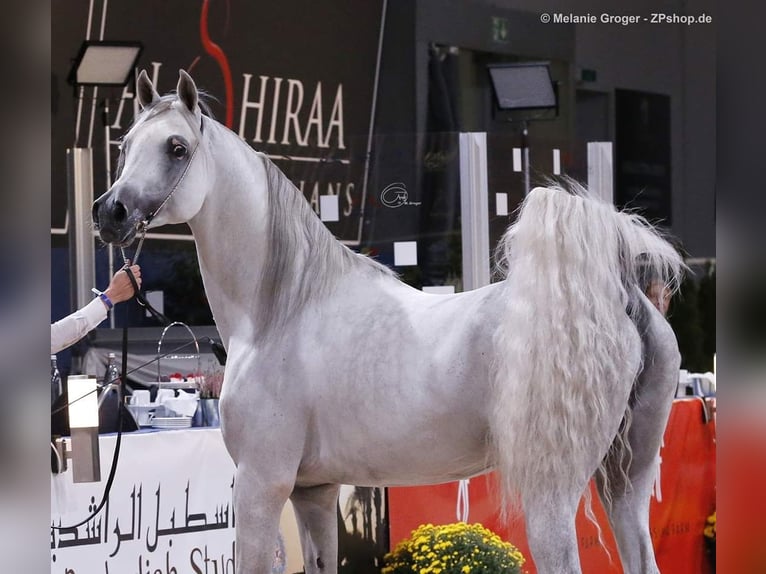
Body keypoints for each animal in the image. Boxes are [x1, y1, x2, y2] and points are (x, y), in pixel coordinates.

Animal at [92, 69, 683, 574]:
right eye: (123, 146)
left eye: (176, 148)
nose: (109, 213)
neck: (279, 310)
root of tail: (618, 297)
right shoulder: (313, 492)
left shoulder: (261, 486)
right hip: (626, 484)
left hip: (552, 494)